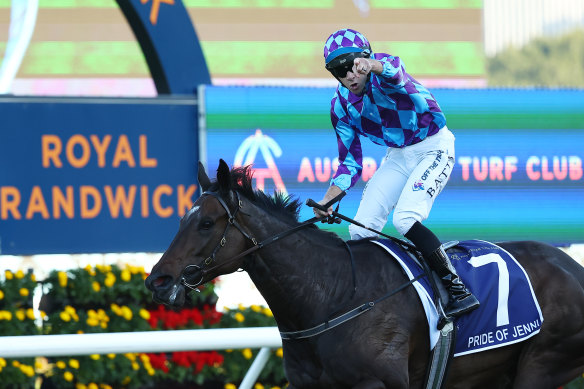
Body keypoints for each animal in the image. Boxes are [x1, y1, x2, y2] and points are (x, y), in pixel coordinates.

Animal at [145, 159, 584, 386]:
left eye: (206, 224)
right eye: (183, 219)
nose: (157, 280)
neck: (331, 296)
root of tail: (573, 268)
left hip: (543, 363)